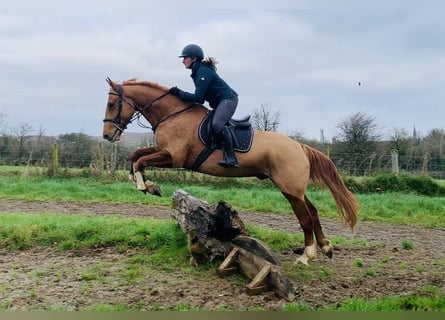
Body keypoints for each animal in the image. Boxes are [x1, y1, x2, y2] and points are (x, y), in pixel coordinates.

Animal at [101, 77, 358, 264]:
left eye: (111, 104)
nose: (107, 135)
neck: (171, 114)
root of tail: (299, 146)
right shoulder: (162, 151)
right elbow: (136, 156)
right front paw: (148, 185)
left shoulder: (173, 157)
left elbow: (140, 161)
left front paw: (145, 186)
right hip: (293, 189)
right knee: (312, 212)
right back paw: (325, 246)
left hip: (290, 188)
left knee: (305, 217)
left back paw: (308, 255)